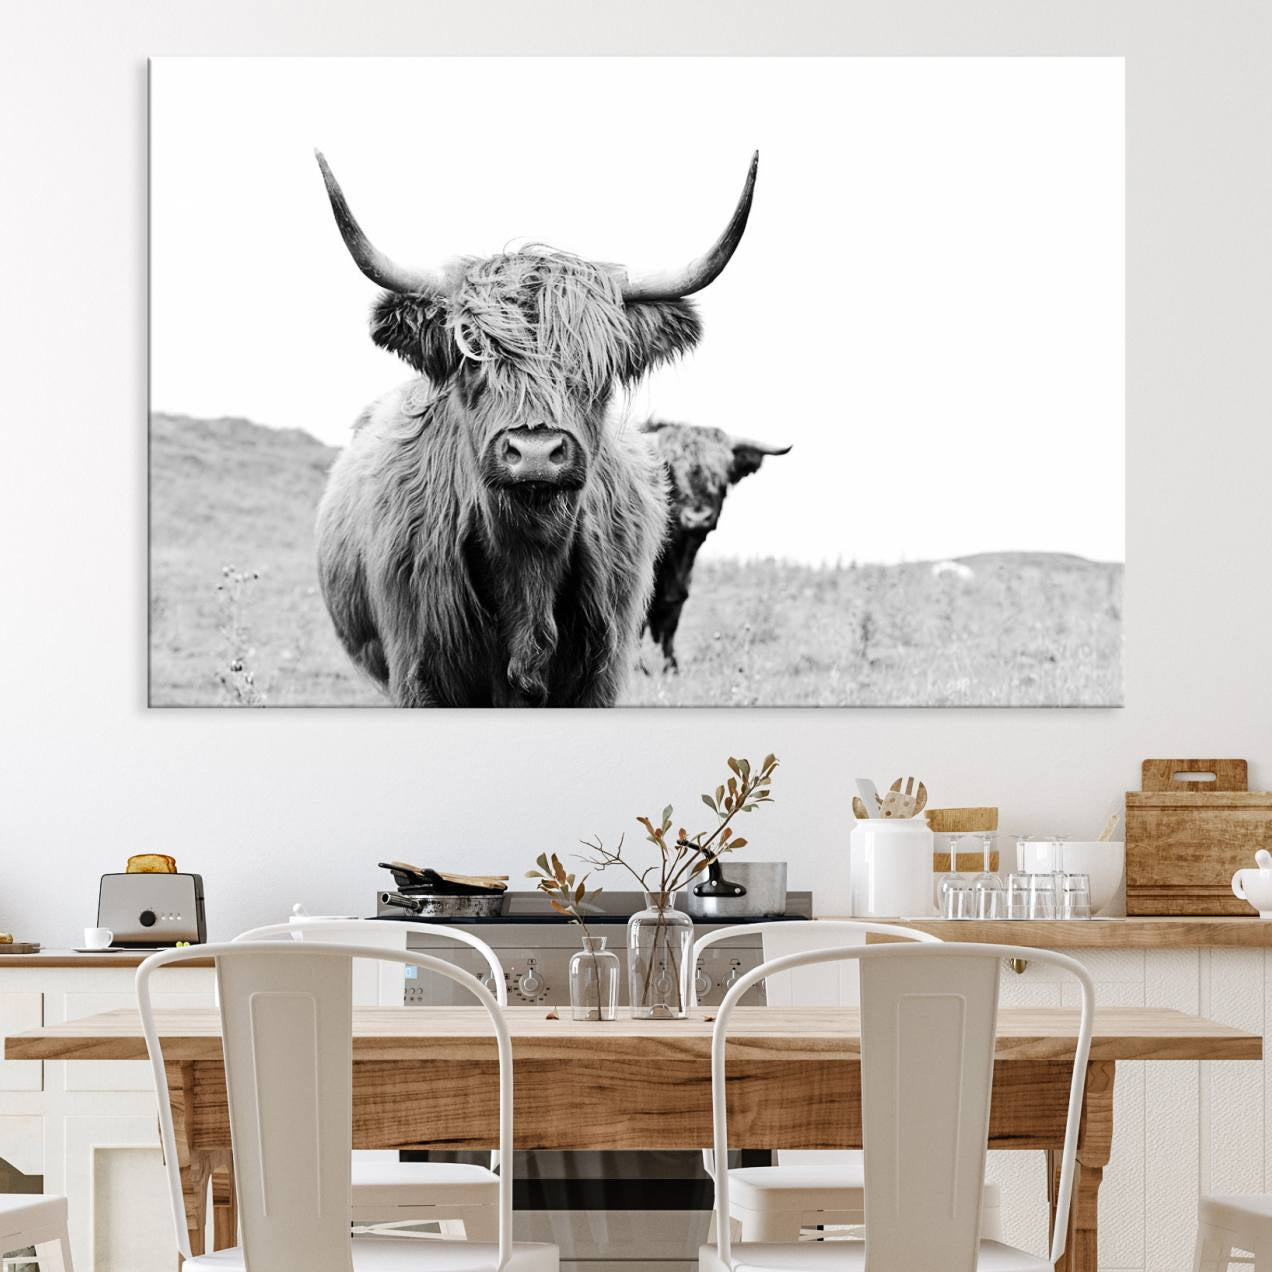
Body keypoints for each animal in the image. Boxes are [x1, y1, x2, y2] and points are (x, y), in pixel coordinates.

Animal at [313, 151, 758, 706]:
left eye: (599, 365)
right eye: (472, 355)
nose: (535, 452)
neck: (528, 564)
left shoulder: (601, 675)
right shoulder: (418, 672)